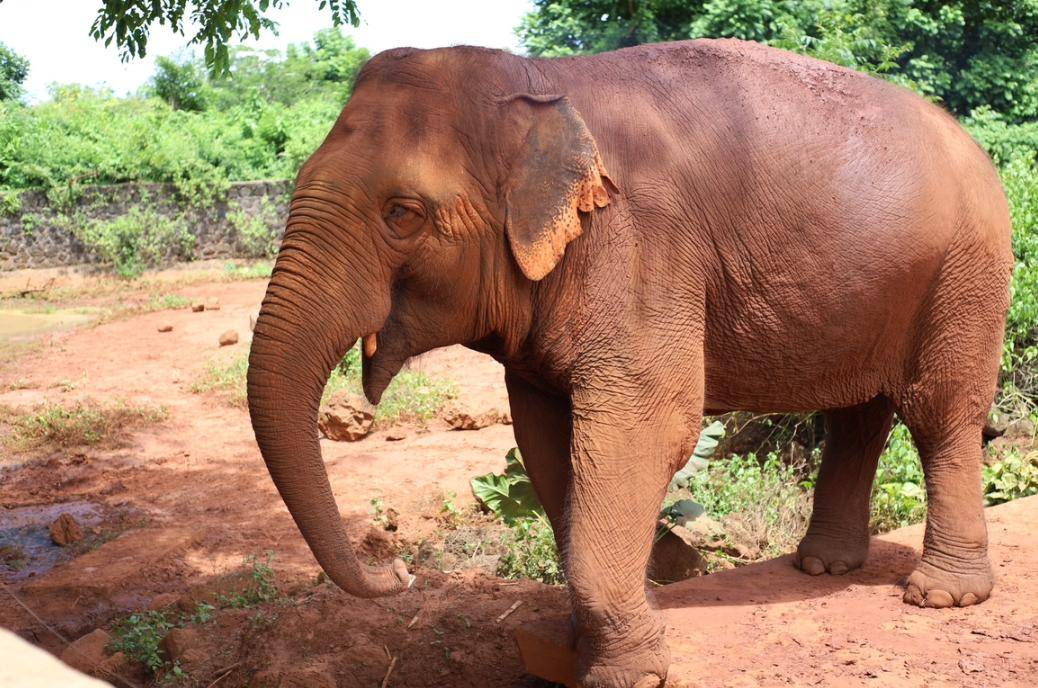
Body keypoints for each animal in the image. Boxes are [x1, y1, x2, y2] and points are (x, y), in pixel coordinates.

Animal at [246, 38, 1013, 688]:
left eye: (402, 214)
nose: (400, 570)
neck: (541, 84)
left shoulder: (643, 245)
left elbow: (644, 430)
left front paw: (626, 673)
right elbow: (547, 442)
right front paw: (584, 644)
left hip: (967, 272)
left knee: (940, 412)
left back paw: (940, 596)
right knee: (858, 416)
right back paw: (821, 566)